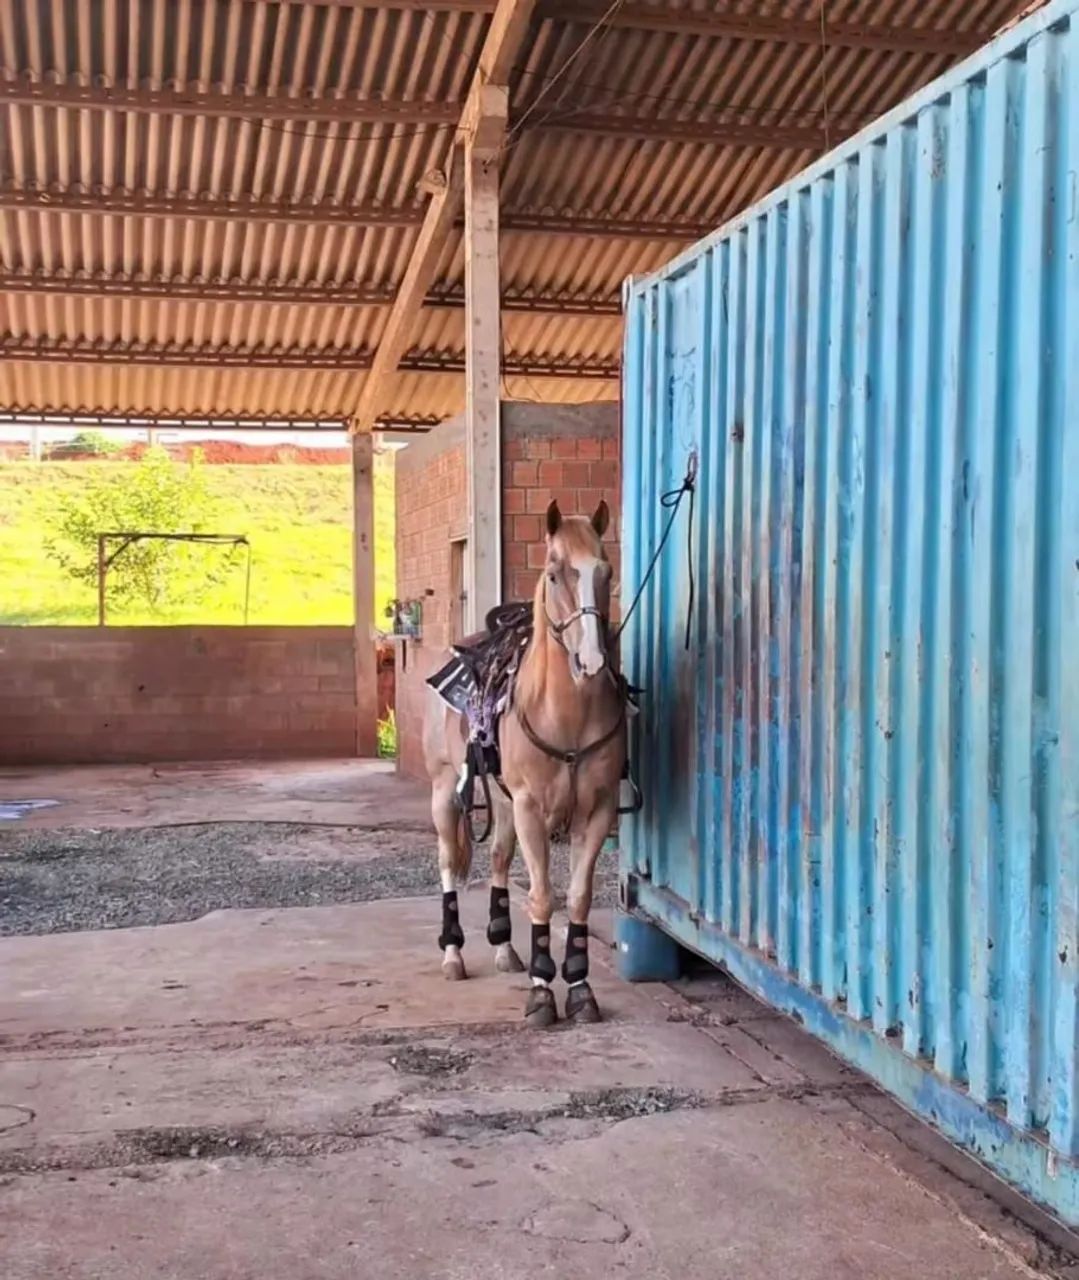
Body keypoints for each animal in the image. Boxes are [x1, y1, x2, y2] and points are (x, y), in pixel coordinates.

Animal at [422, 498, 626, 1027]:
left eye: (606, 570)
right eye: (554, 574)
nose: (591, 660)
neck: (566, 714)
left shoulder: (597, 810)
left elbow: (576, 896)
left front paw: (579, 987)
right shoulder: (532, 809)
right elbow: (540, 896)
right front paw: (541, 991)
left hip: (502, 800)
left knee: (497, 858)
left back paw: (503, 948)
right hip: (445, 792)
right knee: (449, 862)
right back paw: (453, 954)